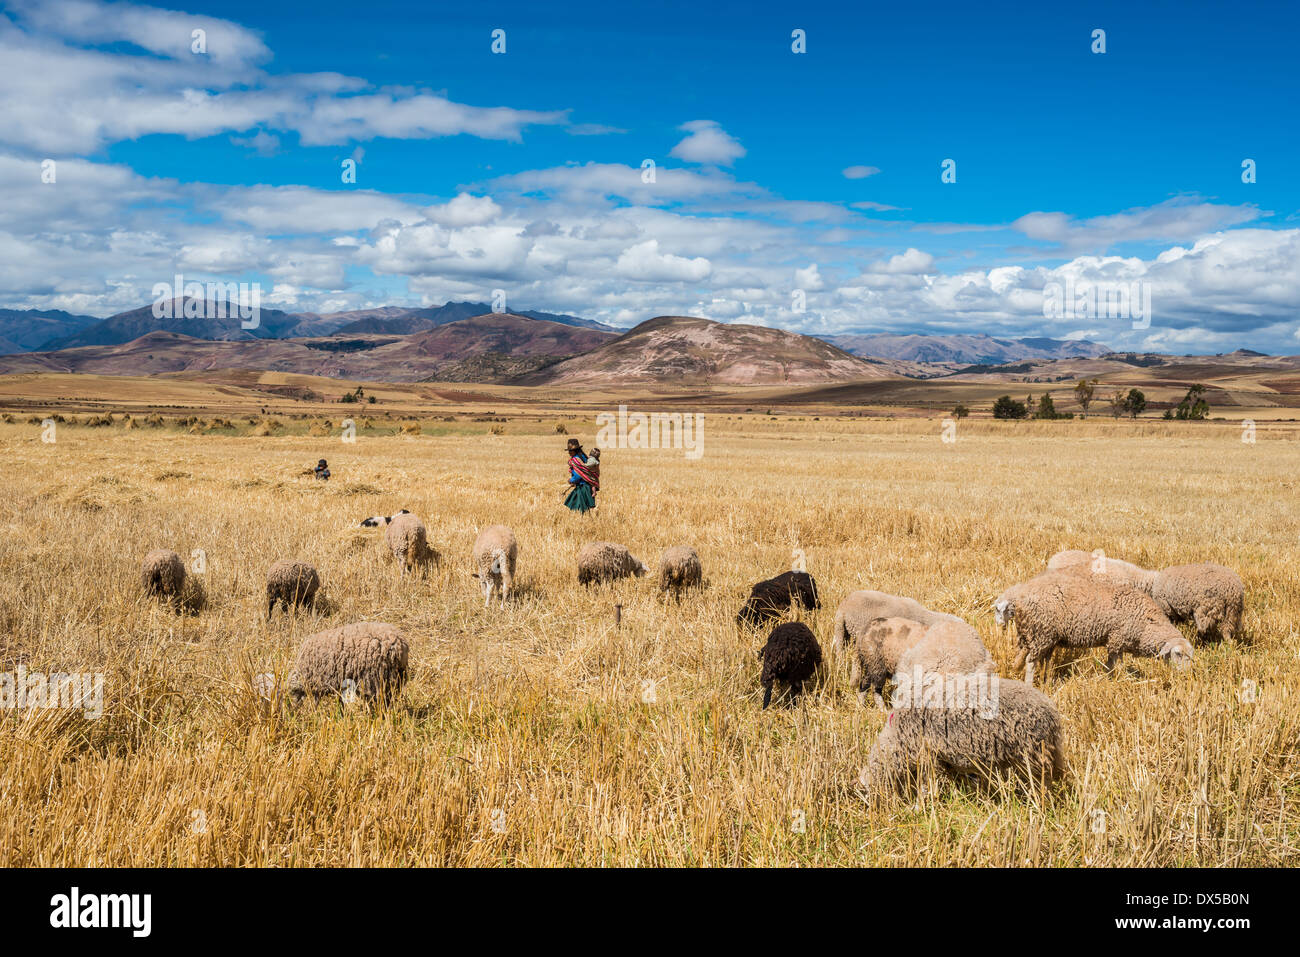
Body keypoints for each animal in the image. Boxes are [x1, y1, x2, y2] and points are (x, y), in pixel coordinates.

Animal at [993, 566, 1196, 686]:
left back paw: (1044, 680)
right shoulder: (1117, 639)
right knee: (1030, 662)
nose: (1186, 676)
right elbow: (1116, 665)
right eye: (1178, 654)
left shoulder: (1114, 641)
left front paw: (1108, 680)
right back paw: (1030, 684)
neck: (1148, 624)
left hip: (1039, 635)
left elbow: (1110, 665)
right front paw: (1118, 681)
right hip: (1041, 632)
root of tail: (1021, 595)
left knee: (1035, 658)